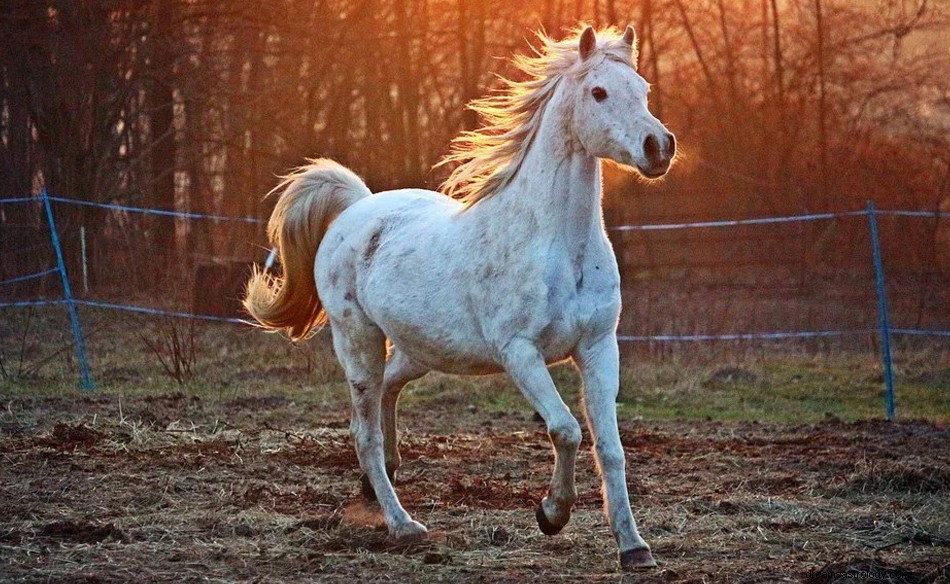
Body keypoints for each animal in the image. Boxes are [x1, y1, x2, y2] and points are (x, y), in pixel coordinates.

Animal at [245, 26, 676, 572]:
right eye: (598, 92)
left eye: (642, 89)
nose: (658, 147)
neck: (558, 245)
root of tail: (356, 208)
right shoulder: (520, 353)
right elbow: (566, 429)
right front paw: (551, 514)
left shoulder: (599, 347)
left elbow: (612, 448)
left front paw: (634, 547)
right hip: (358, 342)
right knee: (364, 431)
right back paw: (403, 525)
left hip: (420, 349)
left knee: (388, 392)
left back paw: (380, 481)